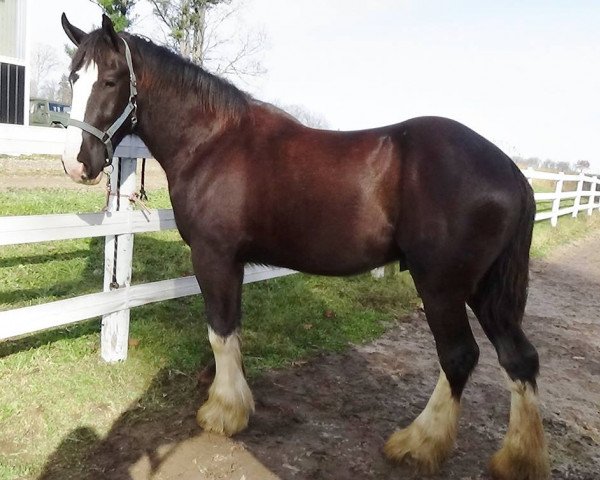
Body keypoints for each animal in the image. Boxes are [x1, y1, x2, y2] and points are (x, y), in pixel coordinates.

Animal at [59, 13, 548, 478]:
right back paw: (518, 459)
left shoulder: (213, 256)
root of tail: (512, 171)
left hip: (442, 288)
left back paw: (419, 444)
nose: (76, 164)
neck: (213, 141)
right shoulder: (233, 262)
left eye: (110, 80)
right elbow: (232, 330)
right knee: (518, 358)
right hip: (483, 289)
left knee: (460, 357)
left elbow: (220, 331)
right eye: (73, 77)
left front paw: (224, 412)